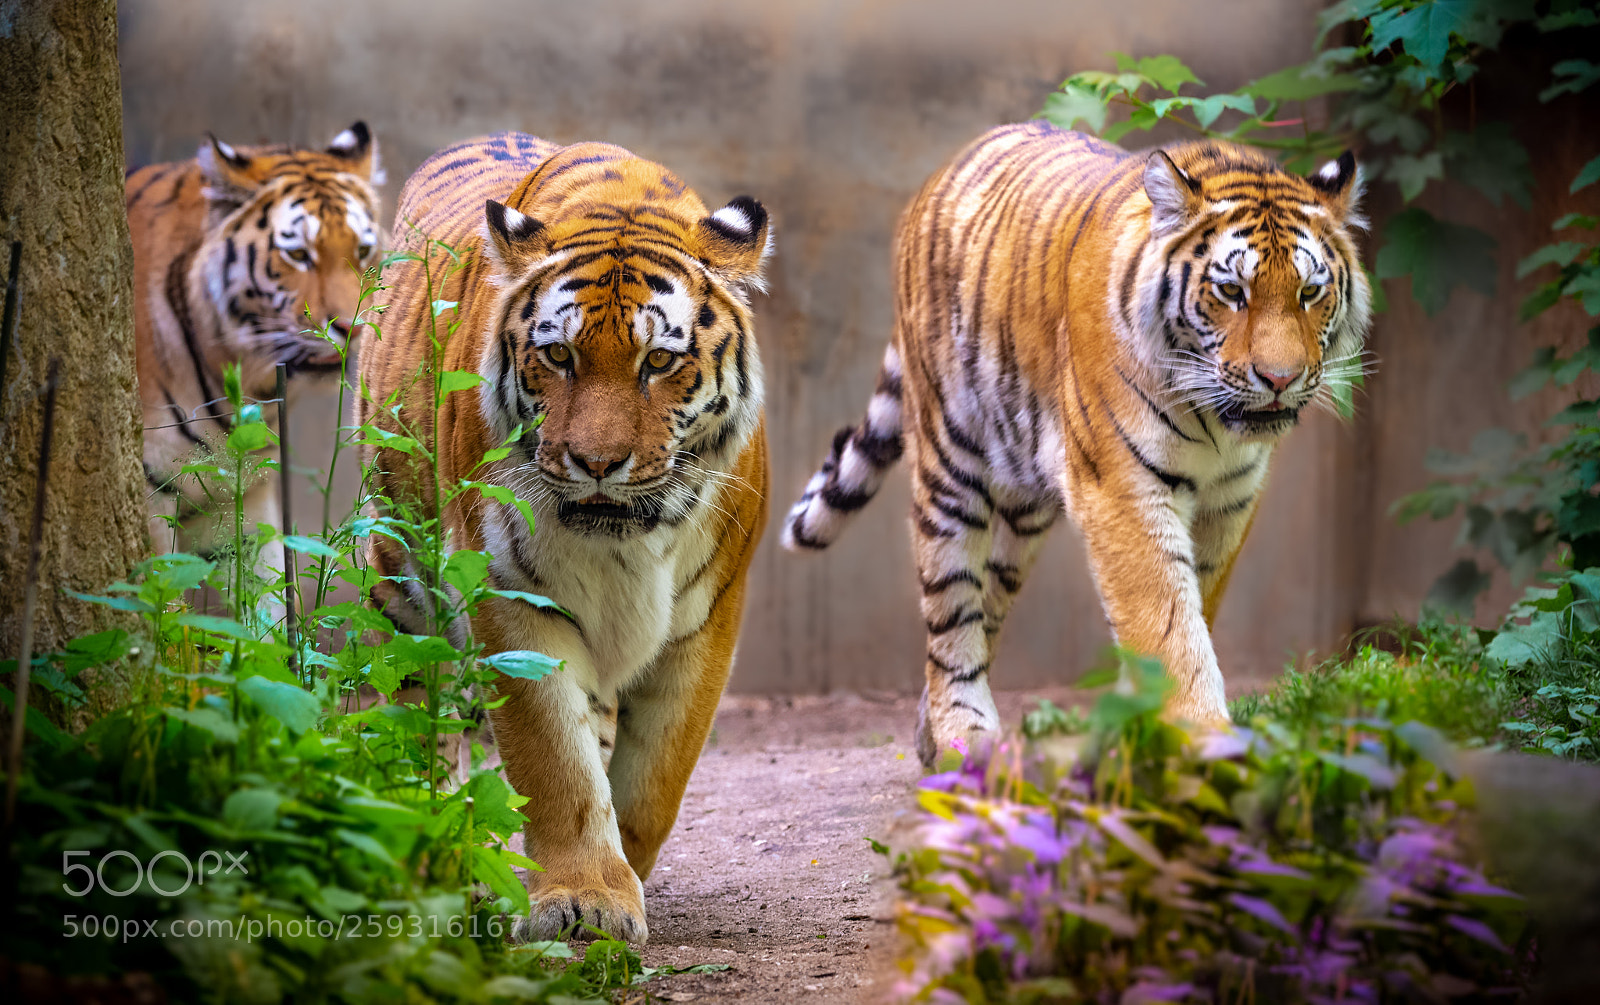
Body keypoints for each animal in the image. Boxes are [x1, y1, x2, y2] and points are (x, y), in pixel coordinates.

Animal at [358, 132, 771, 944]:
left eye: (659, 360)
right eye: (558, 356)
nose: (597, 463)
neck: (623, 543)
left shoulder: (710, 615)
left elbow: (656, 772)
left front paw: (624, 875)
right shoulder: (511, 597)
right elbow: (554, 758)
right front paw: (586, 898)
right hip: (398, 570)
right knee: (416, 707)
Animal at [782, 121, 1371, 766]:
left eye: (1310, 292)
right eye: (1231, 291)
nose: (1280, 379)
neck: (1218, 427)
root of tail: (942, 171)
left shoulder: (1231, 501)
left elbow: (1196, 605)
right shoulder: (1123, 490)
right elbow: (1167, 620)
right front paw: (1201, 739)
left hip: (1024, 509)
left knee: (987, 605)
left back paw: (931, 733)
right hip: (950, 469)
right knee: (950, 618)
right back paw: (962, 734)